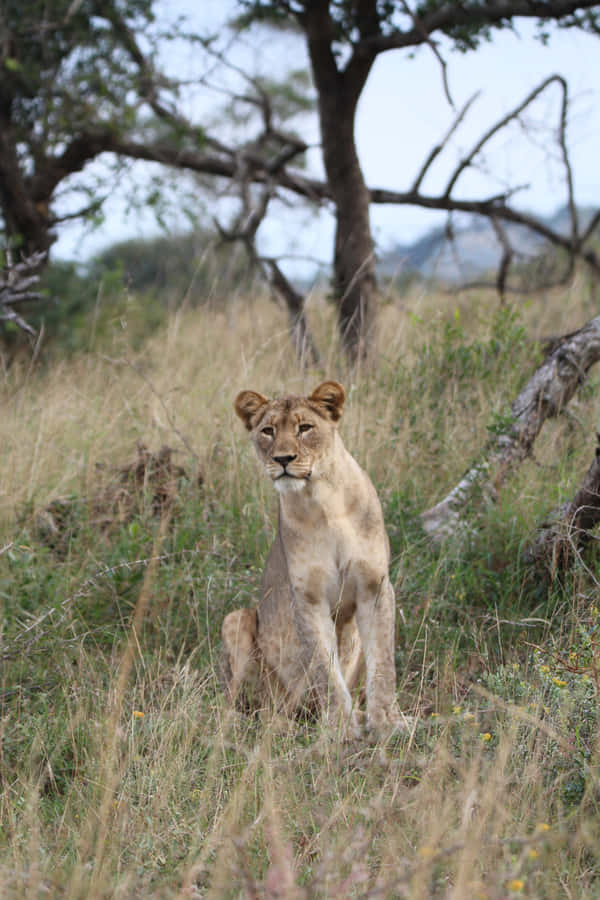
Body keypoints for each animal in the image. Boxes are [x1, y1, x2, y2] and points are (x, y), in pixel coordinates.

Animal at [221, 380, 402, 737]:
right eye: (267, 431)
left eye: (305, 428)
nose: (283, 458)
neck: (322, 501)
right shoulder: (307, 598)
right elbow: (324, 670)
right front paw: (342, 728)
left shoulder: (374, 588)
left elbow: (383, 663)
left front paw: (387, 722)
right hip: (236, 621)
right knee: (253, 704)